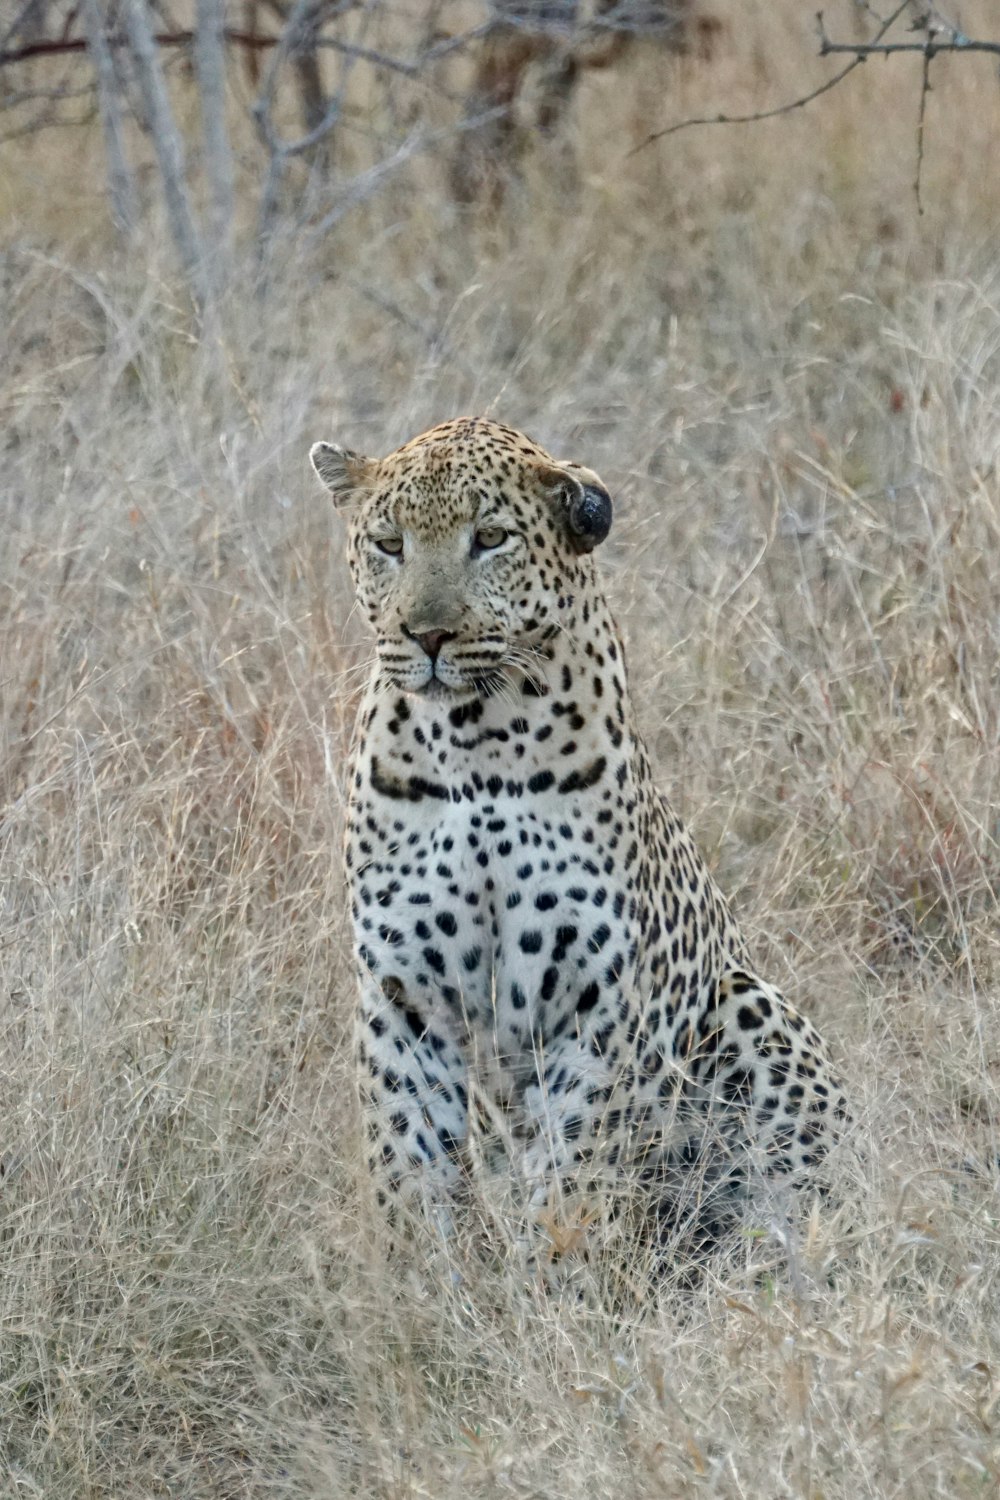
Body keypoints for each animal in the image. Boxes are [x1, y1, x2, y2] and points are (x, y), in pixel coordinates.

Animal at [308, 417, 851, 1272]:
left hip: (751, 1004)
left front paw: (555, 1284)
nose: (426, 635)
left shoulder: (596, 1000)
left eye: (489, 538)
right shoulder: (404, 996)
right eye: (389, 544)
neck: (474, 743)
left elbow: (574, 1171)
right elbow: (409, 1162)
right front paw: (421, 1286)